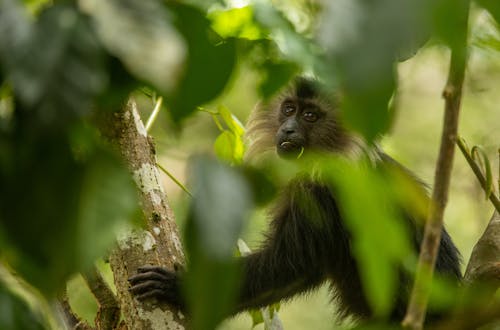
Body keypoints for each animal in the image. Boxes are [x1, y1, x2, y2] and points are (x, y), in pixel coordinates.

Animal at [128, 78, 460, 324]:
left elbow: (289, 265)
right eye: (289, 110)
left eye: (310, 116)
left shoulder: (322, 192)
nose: (287, 129)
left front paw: (179, 289)